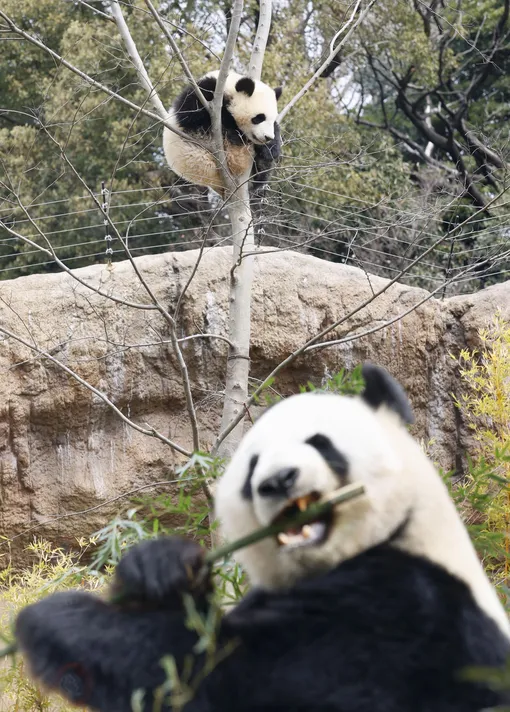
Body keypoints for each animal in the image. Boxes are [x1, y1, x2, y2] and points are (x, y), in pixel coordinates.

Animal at [13, 364, 510, 712]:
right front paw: (159, 567)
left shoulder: (405, 606)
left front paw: (55, 619)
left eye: (320, 443)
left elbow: (224, 676)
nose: (278, 481)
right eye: (252, 465)